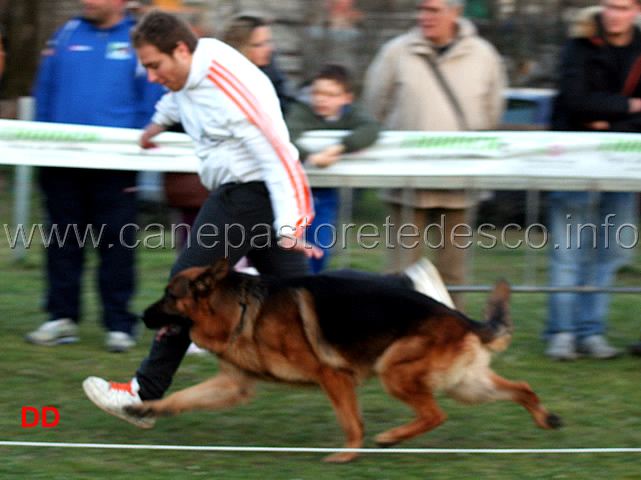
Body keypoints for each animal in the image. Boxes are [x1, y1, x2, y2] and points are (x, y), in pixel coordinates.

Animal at [129, 260, 560, 464]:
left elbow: (352, 423)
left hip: (394, 371)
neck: (238, 307)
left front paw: (348, 454)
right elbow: (181, 398)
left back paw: (390, 438)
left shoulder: (332, 376)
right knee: (521, 388)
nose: (140, 316)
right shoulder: (234, 386)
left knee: (435, 414)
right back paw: (546, 418)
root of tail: (463, 320)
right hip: (466, 386)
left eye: (169, 296)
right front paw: (143, 407)